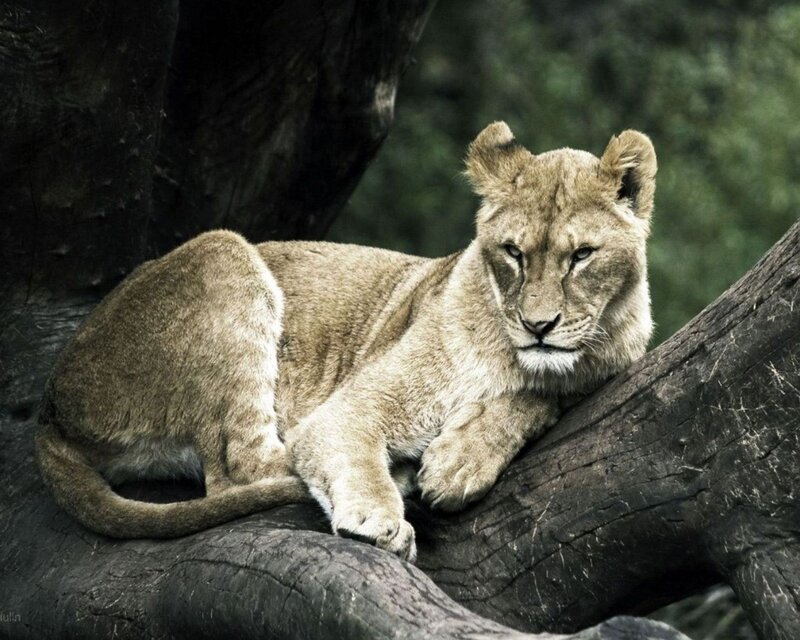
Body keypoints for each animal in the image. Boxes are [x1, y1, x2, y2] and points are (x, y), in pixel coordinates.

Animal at [36, 122, 656, 562]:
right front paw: (384, 517)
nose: (537, 325)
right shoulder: (351, 408)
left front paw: (460, 460)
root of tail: (50, 407)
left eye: (582, 256)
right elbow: (346, 447)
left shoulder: (608, 365)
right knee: (241, 468)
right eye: (513, 253)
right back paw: (397, 479)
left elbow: (539, 397)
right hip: (224, 251)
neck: (515, 357)